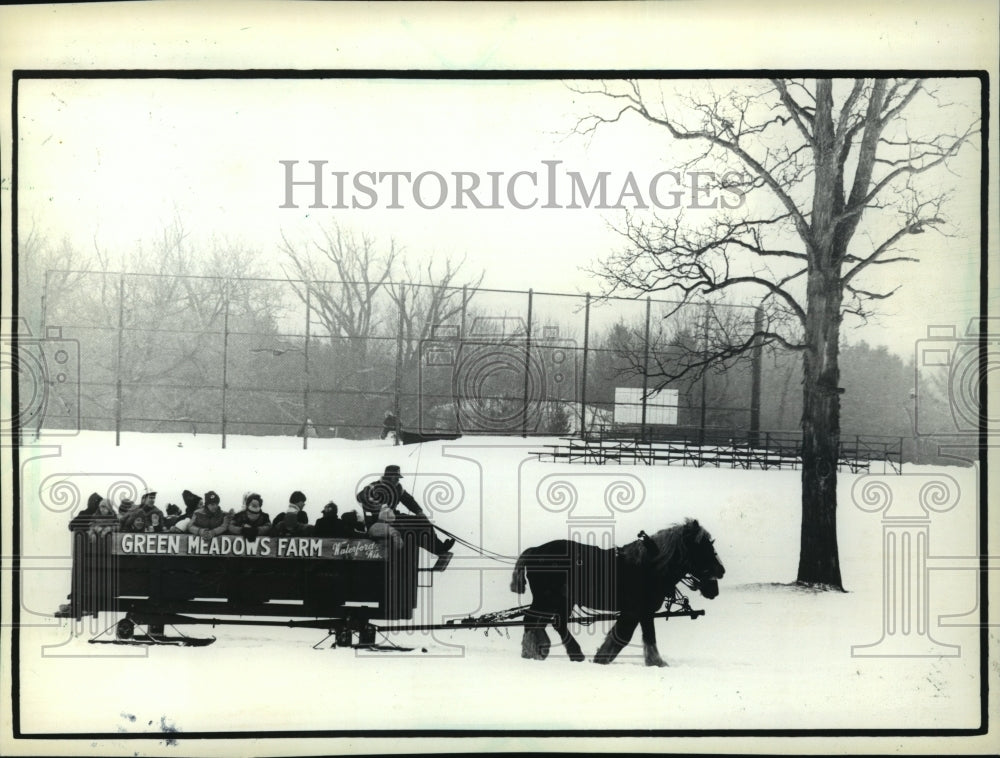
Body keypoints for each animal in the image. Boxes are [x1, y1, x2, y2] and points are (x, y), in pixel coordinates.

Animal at [512, 524, 724, 664]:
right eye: (704, 549)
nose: (721, 571)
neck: (649, 566)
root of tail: (534, 551)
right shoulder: (634, 611)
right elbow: (623, 635)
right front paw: (602, 658)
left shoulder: (644, 612)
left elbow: (646, 636)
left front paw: (655, 662)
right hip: (547, 598)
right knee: (532, 619)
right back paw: (537, 651)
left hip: (560, 600)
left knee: (551, 622)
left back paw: (554, 651)